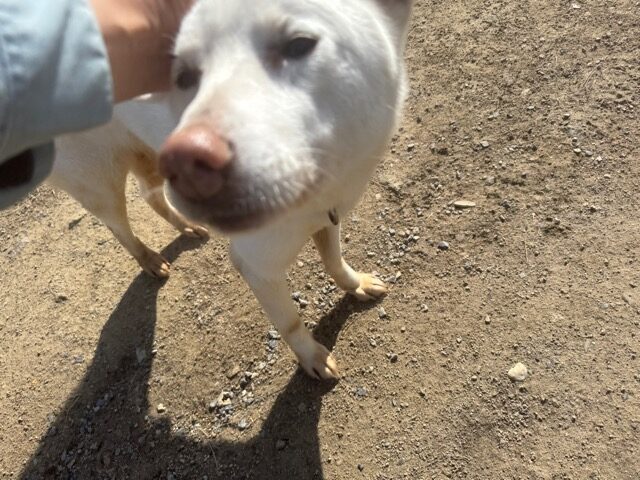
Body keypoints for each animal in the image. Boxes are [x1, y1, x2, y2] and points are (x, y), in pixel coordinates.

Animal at [49, 0, 412, 379]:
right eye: (184, 77)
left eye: (298, 44)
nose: (187, 159)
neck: (316, 195)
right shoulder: (257, 264)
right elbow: (290, 322)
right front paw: (312, 358)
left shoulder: (327, 216)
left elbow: (335, 261)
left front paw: (355, 284)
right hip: (98, 181)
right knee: (117, 224)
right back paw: (148, 258)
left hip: (145, 153)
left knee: (150, 194)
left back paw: (187, 226)